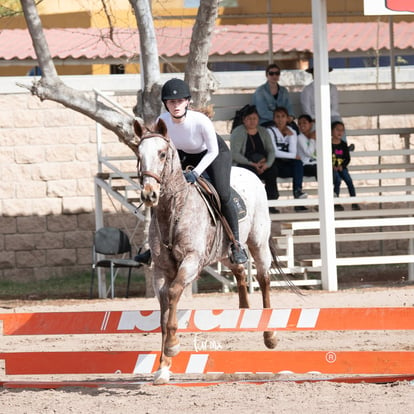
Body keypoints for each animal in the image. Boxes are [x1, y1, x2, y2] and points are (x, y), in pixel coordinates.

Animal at [134, 118, 280, 384]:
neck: (172, 211)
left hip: (258, 242)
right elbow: (164, 309)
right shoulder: (160, 269)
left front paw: (172, 346)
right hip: (225, 251)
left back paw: (269, 335)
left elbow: (174, 293)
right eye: (139, 156)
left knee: (264, 279)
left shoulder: (191, 261)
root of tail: (252, 174)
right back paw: (244, 312)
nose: (149, 194)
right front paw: (163, 369)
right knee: (239, 269)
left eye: (162, 154)